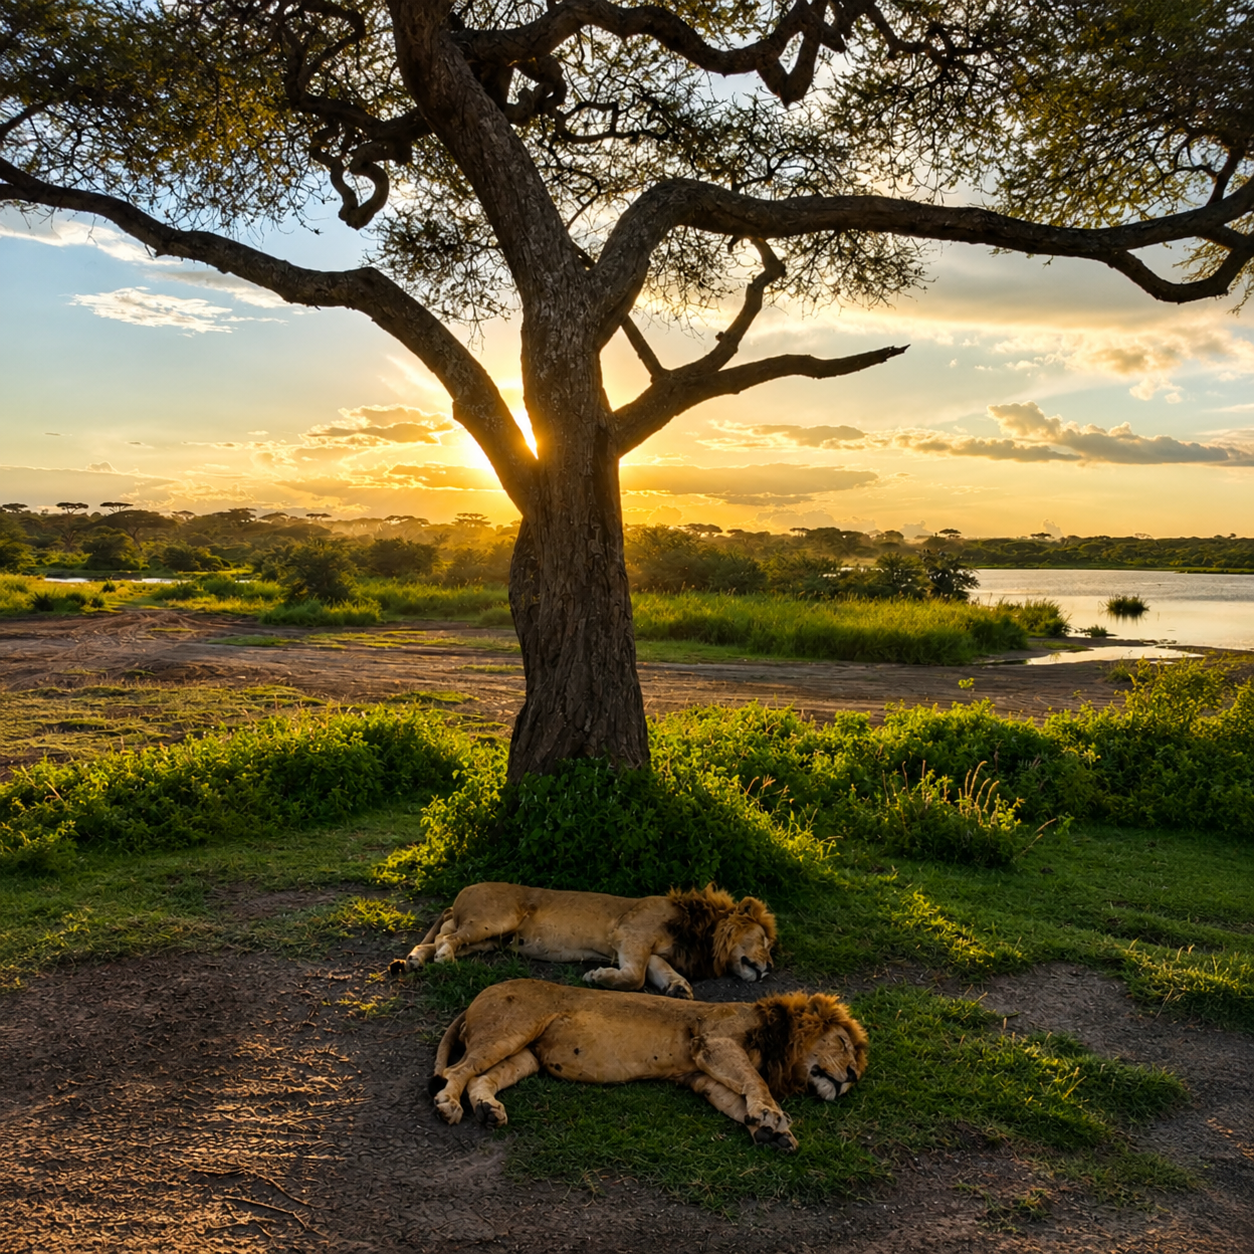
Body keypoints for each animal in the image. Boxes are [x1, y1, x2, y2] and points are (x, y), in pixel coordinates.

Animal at [388, 882, 776, 999]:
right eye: (763, 941)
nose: (770, 968)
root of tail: (461, 893)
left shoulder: (648, 949)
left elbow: (659, 969)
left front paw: (678, 987)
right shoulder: (630, 935)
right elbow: (634, 978)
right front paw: (598, 977)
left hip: (491, 939)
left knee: (441, 936)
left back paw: (417, 959)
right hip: (494, 921)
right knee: (447, 936)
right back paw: (442, 958)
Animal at [429, 979, 868, 1152]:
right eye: (844, 1044)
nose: (852, 1077)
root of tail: (479, 995)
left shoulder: (701, 1076)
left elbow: (736, 1101)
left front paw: (771, 1133)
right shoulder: (715, 1042)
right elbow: (755, 1082)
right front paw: (773, 1117)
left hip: (527, 1057)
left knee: (480, 1079)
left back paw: (488, 1110)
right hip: (512, 1030)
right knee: (456, 1072)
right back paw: (448, 1105)